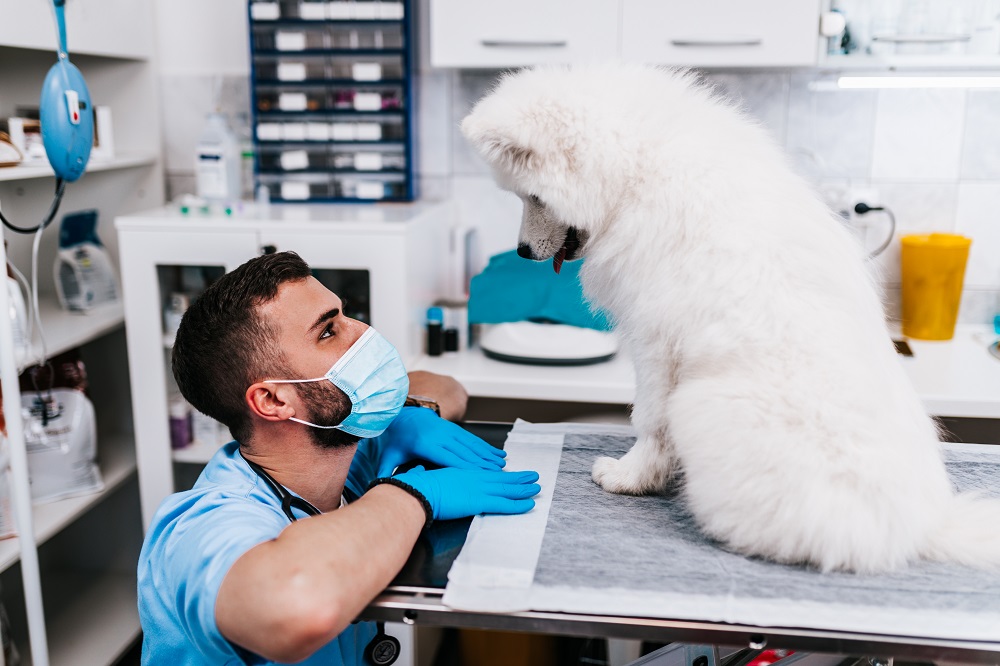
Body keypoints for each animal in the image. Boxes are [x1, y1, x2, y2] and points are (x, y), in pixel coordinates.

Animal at [462, 63, 1000, 572]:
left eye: (532, 197)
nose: (521, 251)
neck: (636, 171)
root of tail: (918, 531)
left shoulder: (656, 340)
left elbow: (650, 420)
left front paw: (630, 477)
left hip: (705, 404)